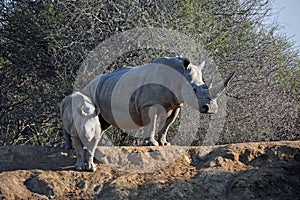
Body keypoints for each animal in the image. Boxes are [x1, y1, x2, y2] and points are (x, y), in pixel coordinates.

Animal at [81, 56, 236, 147]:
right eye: (194, 90)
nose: (211, 108)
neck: (179, 74)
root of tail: (87, 84)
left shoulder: (176, 104)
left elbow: (167, 125)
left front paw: (164, 143)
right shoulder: (148, 104)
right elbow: (151, 123)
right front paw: (152, 144)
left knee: (103, 123)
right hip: (89, 92)